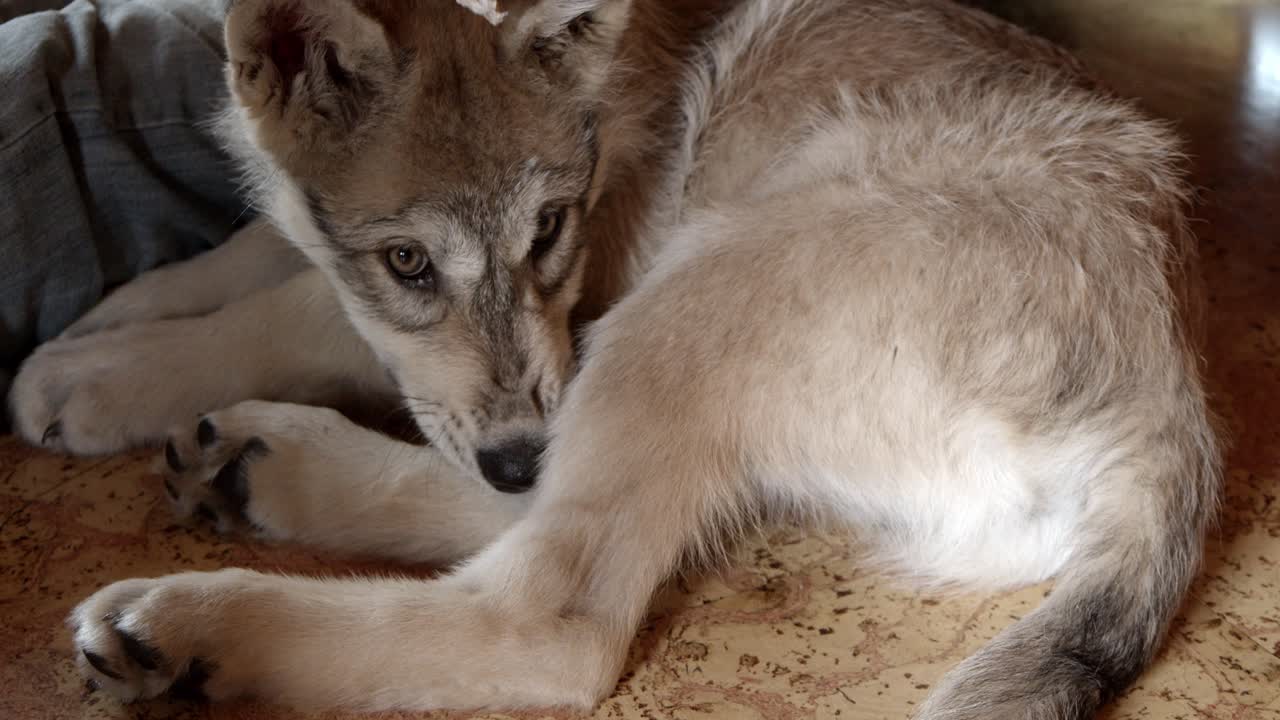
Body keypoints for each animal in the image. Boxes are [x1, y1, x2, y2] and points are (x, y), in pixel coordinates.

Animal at [7, 0, 1219, 717]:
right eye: (409, 260)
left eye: (552, 230)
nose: (513, 447)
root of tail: (1169, 409)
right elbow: (259, 245)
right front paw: (109, 321)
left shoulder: (562, 293)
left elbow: (299, 305)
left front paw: (103, 375)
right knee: (549, 514)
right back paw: (271, 470)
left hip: (704, 281)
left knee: (546, 610)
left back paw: (204, 621)